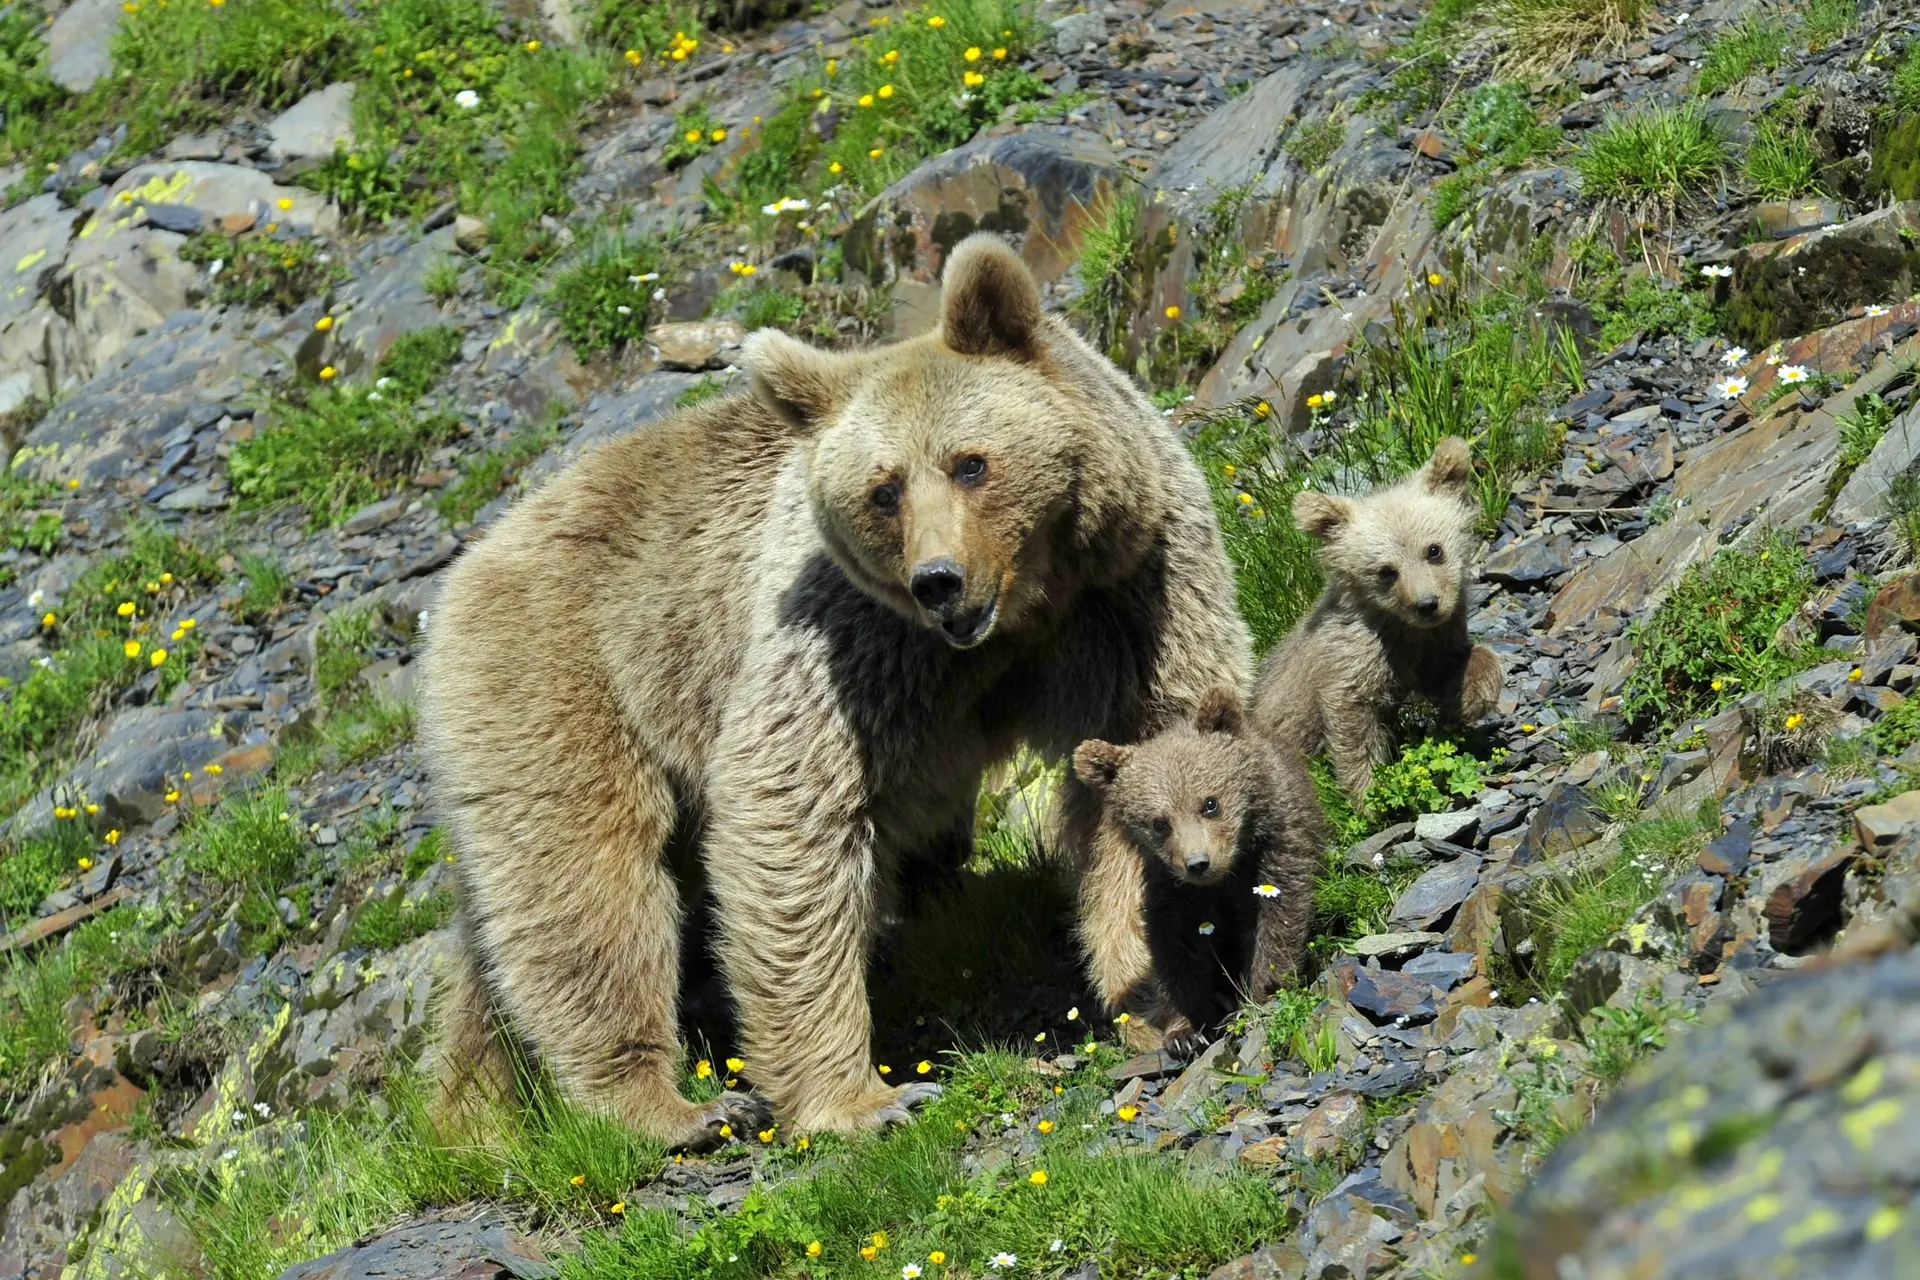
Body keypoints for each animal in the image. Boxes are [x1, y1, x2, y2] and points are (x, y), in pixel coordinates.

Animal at [416, 232, 1252, 1147]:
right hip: (569, 679)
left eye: (970, 463)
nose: (939, 581)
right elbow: (791, 814)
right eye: (884, 489)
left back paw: (474, 1114)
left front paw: (1164, 1002)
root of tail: (472, 560)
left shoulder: (1133, 596)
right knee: (588, 887)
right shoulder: (849, 646)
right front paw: (862, 1098)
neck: (1023, 614)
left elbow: (1144, 765)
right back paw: (667, 1104)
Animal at [1072, 687, 1324, 1059]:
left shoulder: (1275, 848)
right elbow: (1176, 951)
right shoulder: (1170, 889)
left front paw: (1261, 994)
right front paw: (1186, 1030)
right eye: (1159, 823)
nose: (1198, 863)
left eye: (1210, 803)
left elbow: (1277, 919)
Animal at [1248, 437, 1502, 805]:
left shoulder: (1429, 645)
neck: (1400, 628)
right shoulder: (1353, 657)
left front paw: (1472, 696)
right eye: (1386, 571)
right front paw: (1369, 794)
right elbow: (1351, 722)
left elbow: (1452, 666)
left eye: (1434, 550)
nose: (1427, 604)